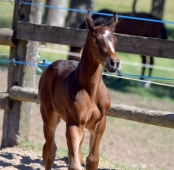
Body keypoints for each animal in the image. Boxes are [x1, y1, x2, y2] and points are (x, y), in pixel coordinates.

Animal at [38, 11, 119, 169]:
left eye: (115, 40)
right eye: (97, 40)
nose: (114, 63)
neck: (91, 91)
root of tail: (51, 66)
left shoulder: (100, 123)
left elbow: (92, 160)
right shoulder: (74, 123)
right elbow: (75, 163)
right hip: (49, 115)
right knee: (49, 149)